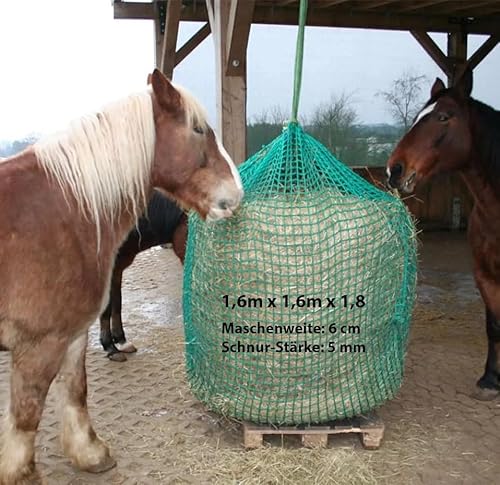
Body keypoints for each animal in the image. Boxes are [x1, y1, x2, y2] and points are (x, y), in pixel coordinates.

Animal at [386, 68, 500, 400]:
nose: (394, 169)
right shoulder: (483, 273)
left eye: (444, 117)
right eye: (416, 117)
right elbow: (493, 325)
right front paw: (490, 379)